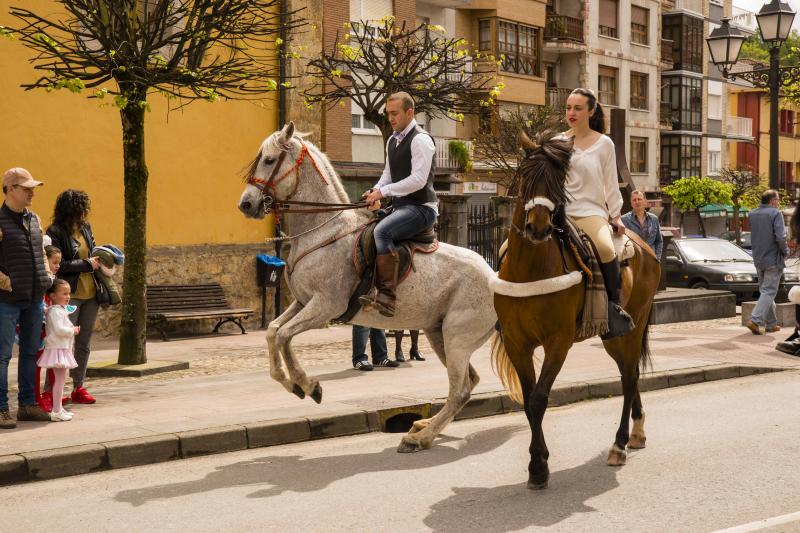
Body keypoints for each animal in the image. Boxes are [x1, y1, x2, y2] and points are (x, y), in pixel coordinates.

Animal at [237, 122, 498, 453]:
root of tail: (495, 276)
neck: (323, 231)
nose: (246, 204)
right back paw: (424, 425)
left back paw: (419, 437)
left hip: (457, 338)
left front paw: (307, 384)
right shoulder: (303, 302)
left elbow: (283, 335)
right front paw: (292, 383)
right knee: (469, 382)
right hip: (439, 333)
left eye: (269, 160)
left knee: (460, 390)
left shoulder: (326, 306)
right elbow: (273, 332)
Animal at [490, 131, 661, 490]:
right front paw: (538, 461)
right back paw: (637, 432)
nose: (538, 228)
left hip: (630, 328)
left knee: (628, 377)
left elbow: (540, 397)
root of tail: (644, 246)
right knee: (631, 374)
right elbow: (529, 400)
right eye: (524, 177)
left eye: (558, 182)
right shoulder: (516, 342)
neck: (531, 268)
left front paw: (538, 466)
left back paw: (619, 444)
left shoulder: (558, 341)